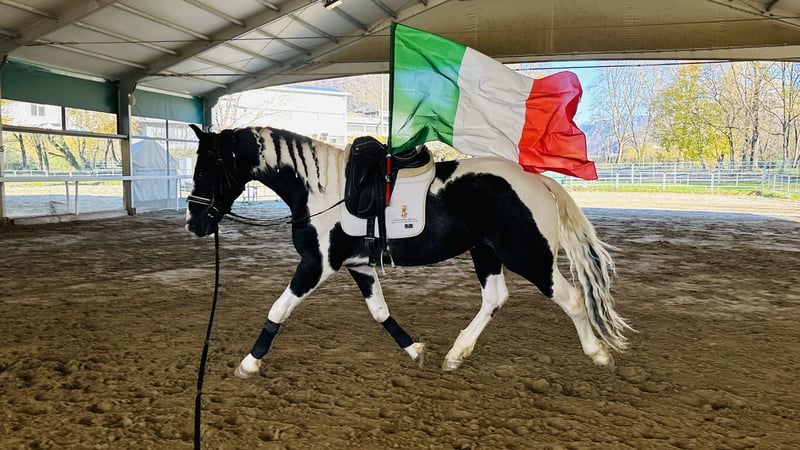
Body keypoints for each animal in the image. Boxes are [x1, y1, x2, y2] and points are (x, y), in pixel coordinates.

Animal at [184, 124, 633, 378]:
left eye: (204, 169)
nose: (194, 223)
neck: (319, 189)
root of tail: (539, 181)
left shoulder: (316, 265)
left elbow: (278, 309)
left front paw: (249, 363)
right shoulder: (359, 267)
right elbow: (379, 311)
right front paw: (415, 350)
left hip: (530, 257)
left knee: (571, 298)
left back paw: (598, 354)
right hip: (485, 253)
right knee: (495, 298)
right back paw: (456, 354)